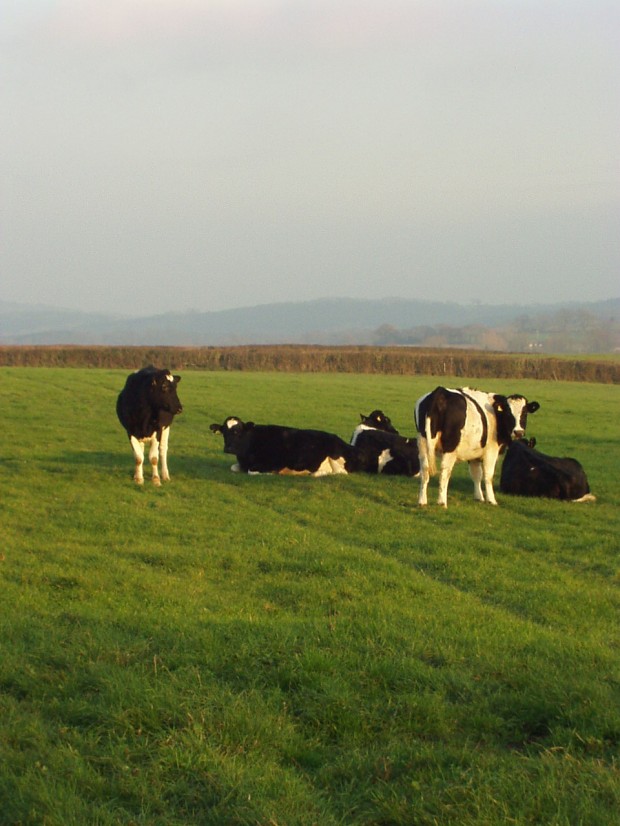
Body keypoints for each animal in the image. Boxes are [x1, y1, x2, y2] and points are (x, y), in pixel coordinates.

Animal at [210, 416, 361, 476]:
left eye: (238, 432)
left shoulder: (272, 463)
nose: (228, 448)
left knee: (339, 472)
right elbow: (234, 467)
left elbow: (253, 472)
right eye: (224, 432)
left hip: (334, 456)